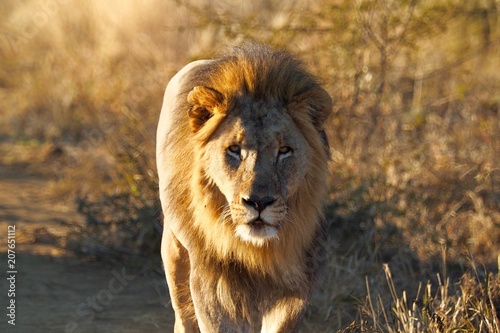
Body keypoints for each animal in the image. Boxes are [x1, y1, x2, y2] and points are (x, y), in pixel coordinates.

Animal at [157, 42, 332, 330]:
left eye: (284, 150)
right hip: (175, 250)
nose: (258, 203)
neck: (258, 249)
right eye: (234, 149)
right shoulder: (214, 278)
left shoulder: (298, 279)